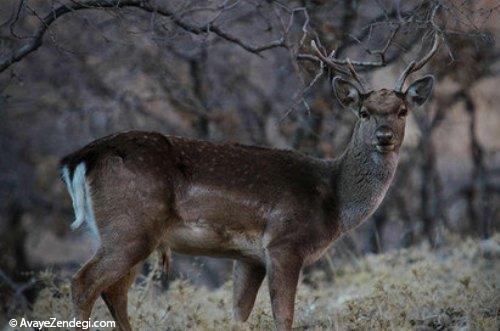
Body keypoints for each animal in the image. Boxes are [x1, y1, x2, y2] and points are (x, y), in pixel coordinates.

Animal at [60, 33, 440, 330]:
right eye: (364, 112)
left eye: (402, 111)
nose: (384, 136)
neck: (333, 199)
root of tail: (80, 156)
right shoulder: (284, 243)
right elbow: (283, 317)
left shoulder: (248, 257)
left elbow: (238, 316)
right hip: (132, 225)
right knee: (84, 282)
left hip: (121, 232)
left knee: (114, 291)